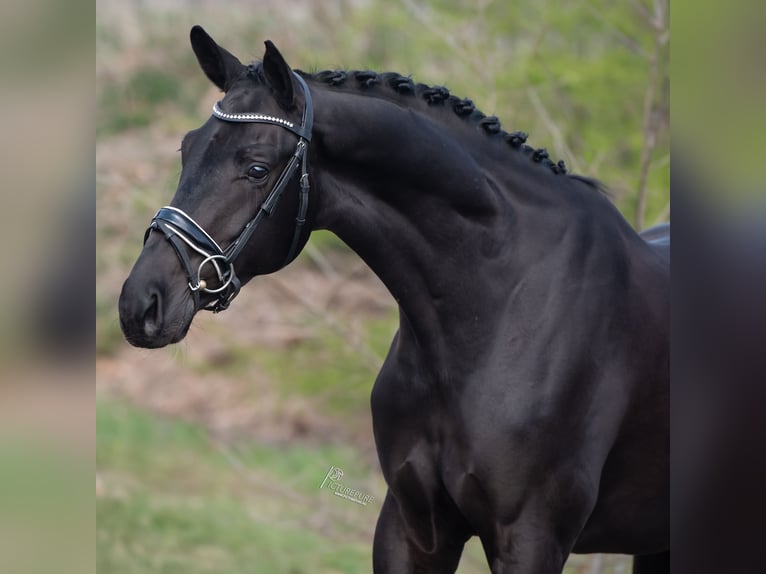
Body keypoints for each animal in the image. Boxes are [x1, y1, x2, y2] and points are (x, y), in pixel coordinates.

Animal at [119, 26, 669, 573]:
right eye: (186, 150)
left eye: (256, 168)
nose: (138, 305)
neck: (496, 309)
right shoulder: (411, 525)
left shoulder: (531, 536)